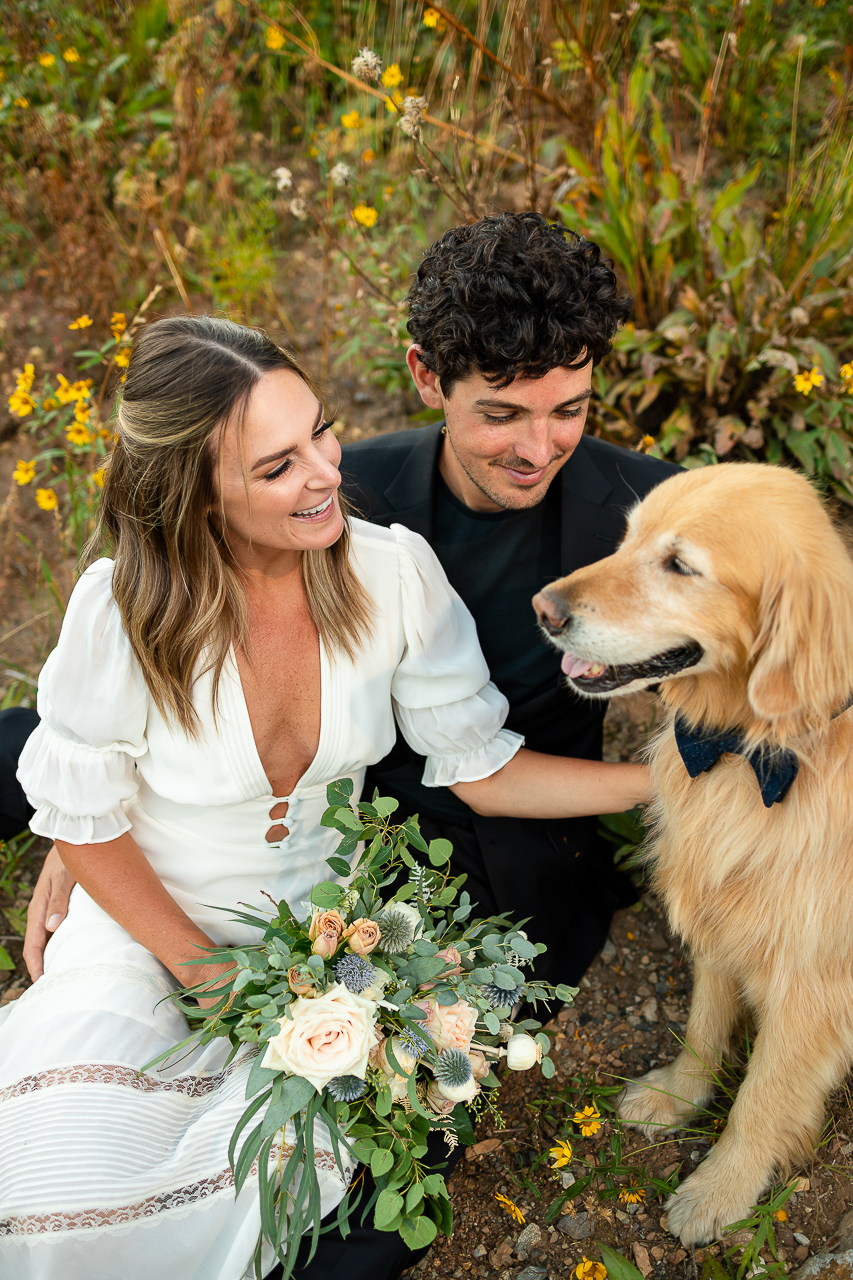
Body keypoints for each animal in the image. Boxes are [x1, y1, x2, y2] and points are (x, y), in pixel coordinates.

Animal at [535, 465, 853, 1244]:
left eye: (680, 566)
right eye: (626, 539)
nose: (543, 609)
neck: (752, 754)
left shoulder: (812, 984)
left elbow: (762, 1095)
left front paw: (720, 1189)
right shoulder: (721, 916)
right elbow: (703, 1030)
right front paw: (679, 1099)